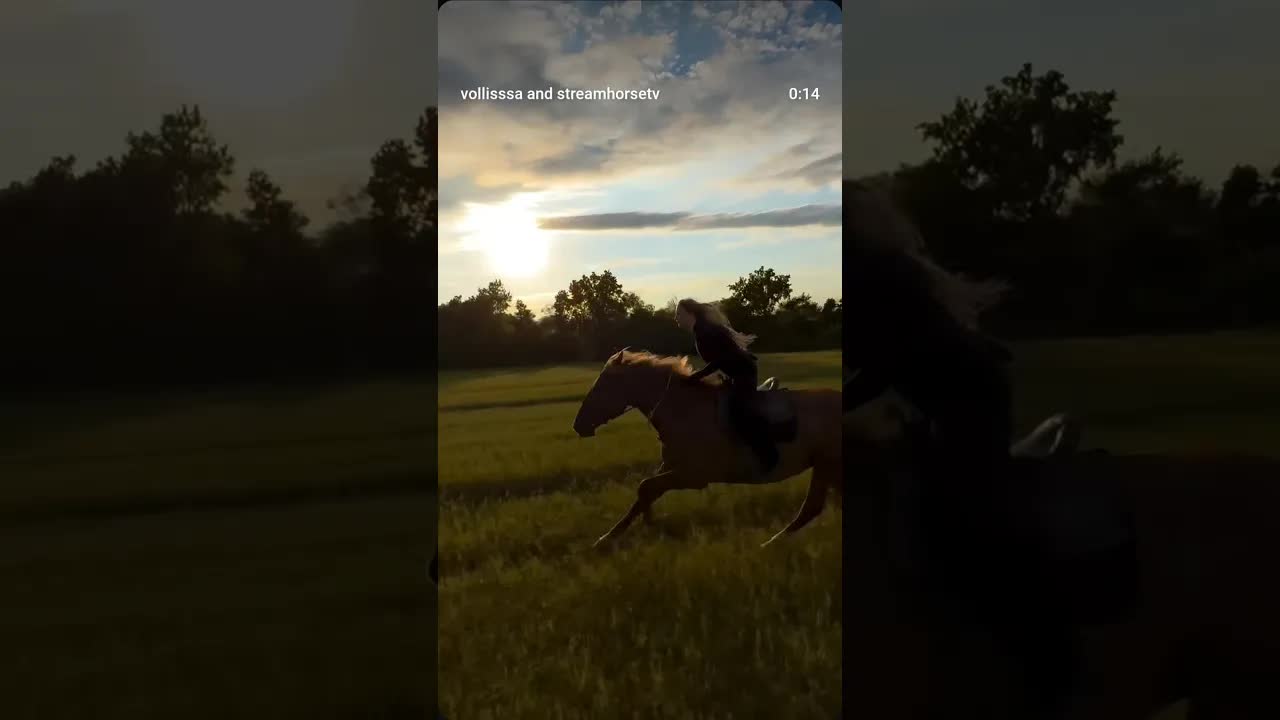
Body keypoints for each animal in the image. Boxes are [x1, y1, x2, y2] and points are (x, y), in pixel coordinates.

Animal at [571, 349, 843, 548]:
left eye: (603, 385)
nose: (578, 425)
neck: (684, 410)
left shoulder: (694, 476)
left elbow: (645, 487)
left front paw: (649, 523)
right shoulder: (671, 468)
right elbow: (644, 493)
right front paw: (607, 538)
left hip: (826, 463)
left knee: (811, 507)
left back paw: (769, 544)